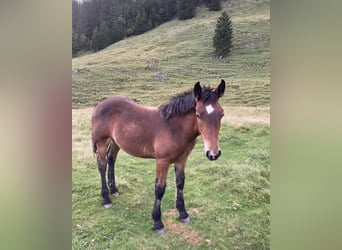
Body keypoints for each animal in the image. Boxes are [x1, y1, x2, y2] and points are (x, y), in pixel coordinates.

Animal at [91, 80, 226, 234]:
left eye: (221, 114)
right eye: (198, 114)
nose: (213, 153)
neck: (175, 127)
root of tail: (99, 104)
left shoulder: (182, 159)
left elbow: (180, 183)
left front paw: (183, 214)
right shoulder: (162, 161)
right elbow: (160, 189)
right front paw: (157, 222)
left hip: (115, 142)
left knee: (111, 160)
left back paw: (114, 190)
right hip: (101, 142)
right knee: (102, 165)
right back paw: (106, 198)